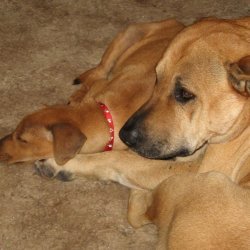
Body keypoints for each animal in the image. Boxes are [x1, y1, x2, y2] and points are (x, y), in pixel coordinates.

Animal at [0, 17, 250, 187]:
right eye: (157, 78)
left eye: (185, 94)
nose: (125, 135)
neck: (104, 114)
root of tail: (176, 22)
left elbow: (113, 159)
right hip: (125, 36)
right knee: (99, 71)